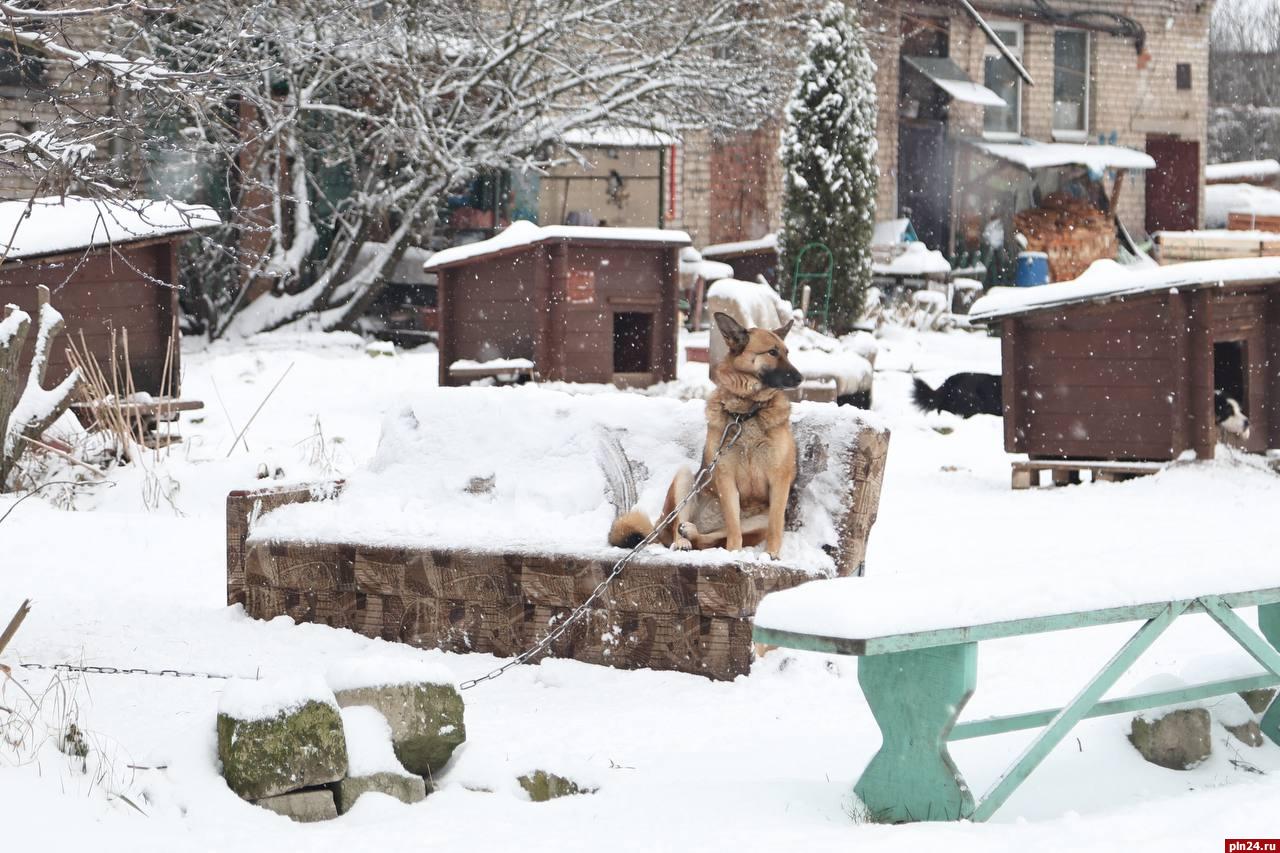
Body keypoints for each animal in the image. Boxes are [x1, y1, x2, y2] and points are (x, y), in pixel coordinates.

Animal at [608, 312, 804, 560]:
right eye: (772, 352)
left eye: (787, 352)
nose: (801, 378)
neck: (746, 412)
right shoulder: (726, 478)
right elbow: (733, 526)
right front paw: (734, 552)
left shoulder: (779, 479)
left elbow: (775, 524)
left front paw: (771, 555)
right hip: (684, 480)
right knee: (681, 529)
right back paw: (683, 539)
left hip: (757, 521)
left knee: (709, 539)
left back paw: (692, 533)